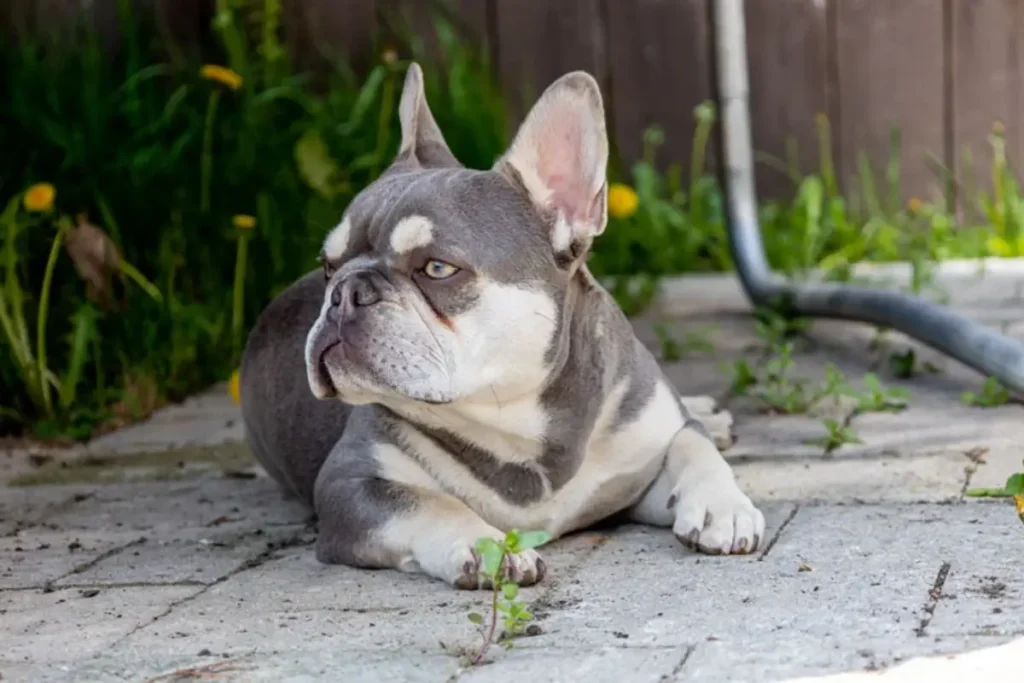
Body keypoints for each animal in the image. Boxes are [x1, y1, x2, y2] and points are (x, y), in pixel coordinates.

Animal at [239, 61, 765, 589]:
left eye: (436, 268)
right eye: (328, 265)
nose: (345, 293)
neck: (514, 417)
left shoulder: (648, 449)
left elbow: (693, 446)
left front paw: (722, 505)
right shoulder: (350, 484)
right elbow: (425, 502)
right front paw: (482, 543)